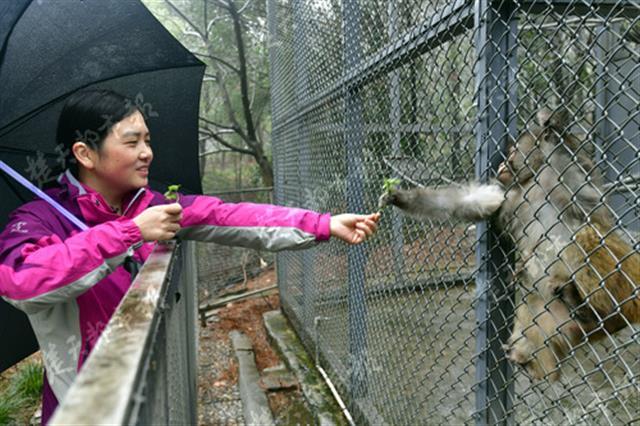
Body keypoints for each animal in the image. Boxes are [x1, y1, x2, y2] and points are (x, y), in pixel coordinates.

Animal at [380, 108, 640, 382]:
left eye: (514, 151)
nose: (503, 164)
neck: (531, 182)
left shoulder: (562, 176)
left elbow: (584, 179)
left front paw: (552, 125)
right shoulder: (510, 196)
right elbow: (469, 203)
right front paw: (400, 197)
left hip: (628, 275)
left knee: (586, 236)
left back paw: (597, 309)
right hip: (556, 312)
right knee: (536, 308)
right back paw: (535, 351)